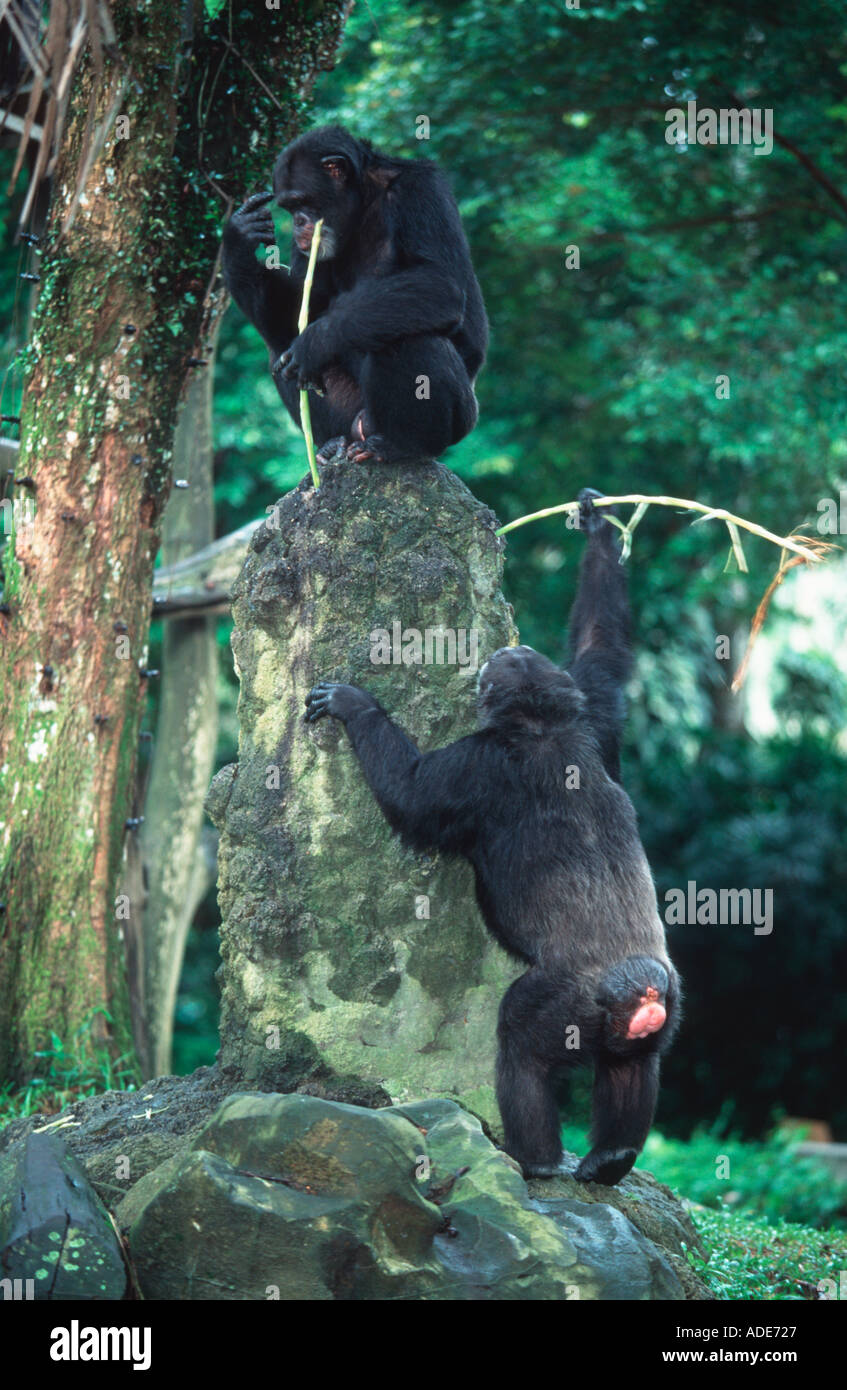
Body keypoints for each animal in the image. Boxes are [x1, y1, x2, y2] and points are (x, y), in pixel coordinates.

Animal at [221, 124, 486, 464]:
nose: (298, 222)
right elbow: (301, 307)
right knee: (277, 346)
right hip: (349, 416)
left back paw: (401, 447)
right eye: (289, 207)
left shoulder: (422, 189)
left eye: (303, 201)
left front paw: (314, 343)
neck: (363, 200)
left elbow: (439, 282)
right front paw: (239, 238)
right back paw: (329, 444)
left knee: (411, 338)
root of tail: (360, 429)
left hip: (458, 422)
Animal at [303, 489, 681, 1184]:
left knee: (520, 1044)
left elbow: (412, 794)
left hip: (565, 1006)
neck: (543, 727)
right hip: (667, 1007)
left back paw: (534, 1158)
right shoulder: (597, 715)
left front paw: (354, 704)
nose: (494, 657)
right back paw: (610, 1157)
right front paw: (595, 526)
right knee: (633, 1065)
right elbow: (602, 654)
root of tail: (640, 991)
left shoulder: (475, 767)